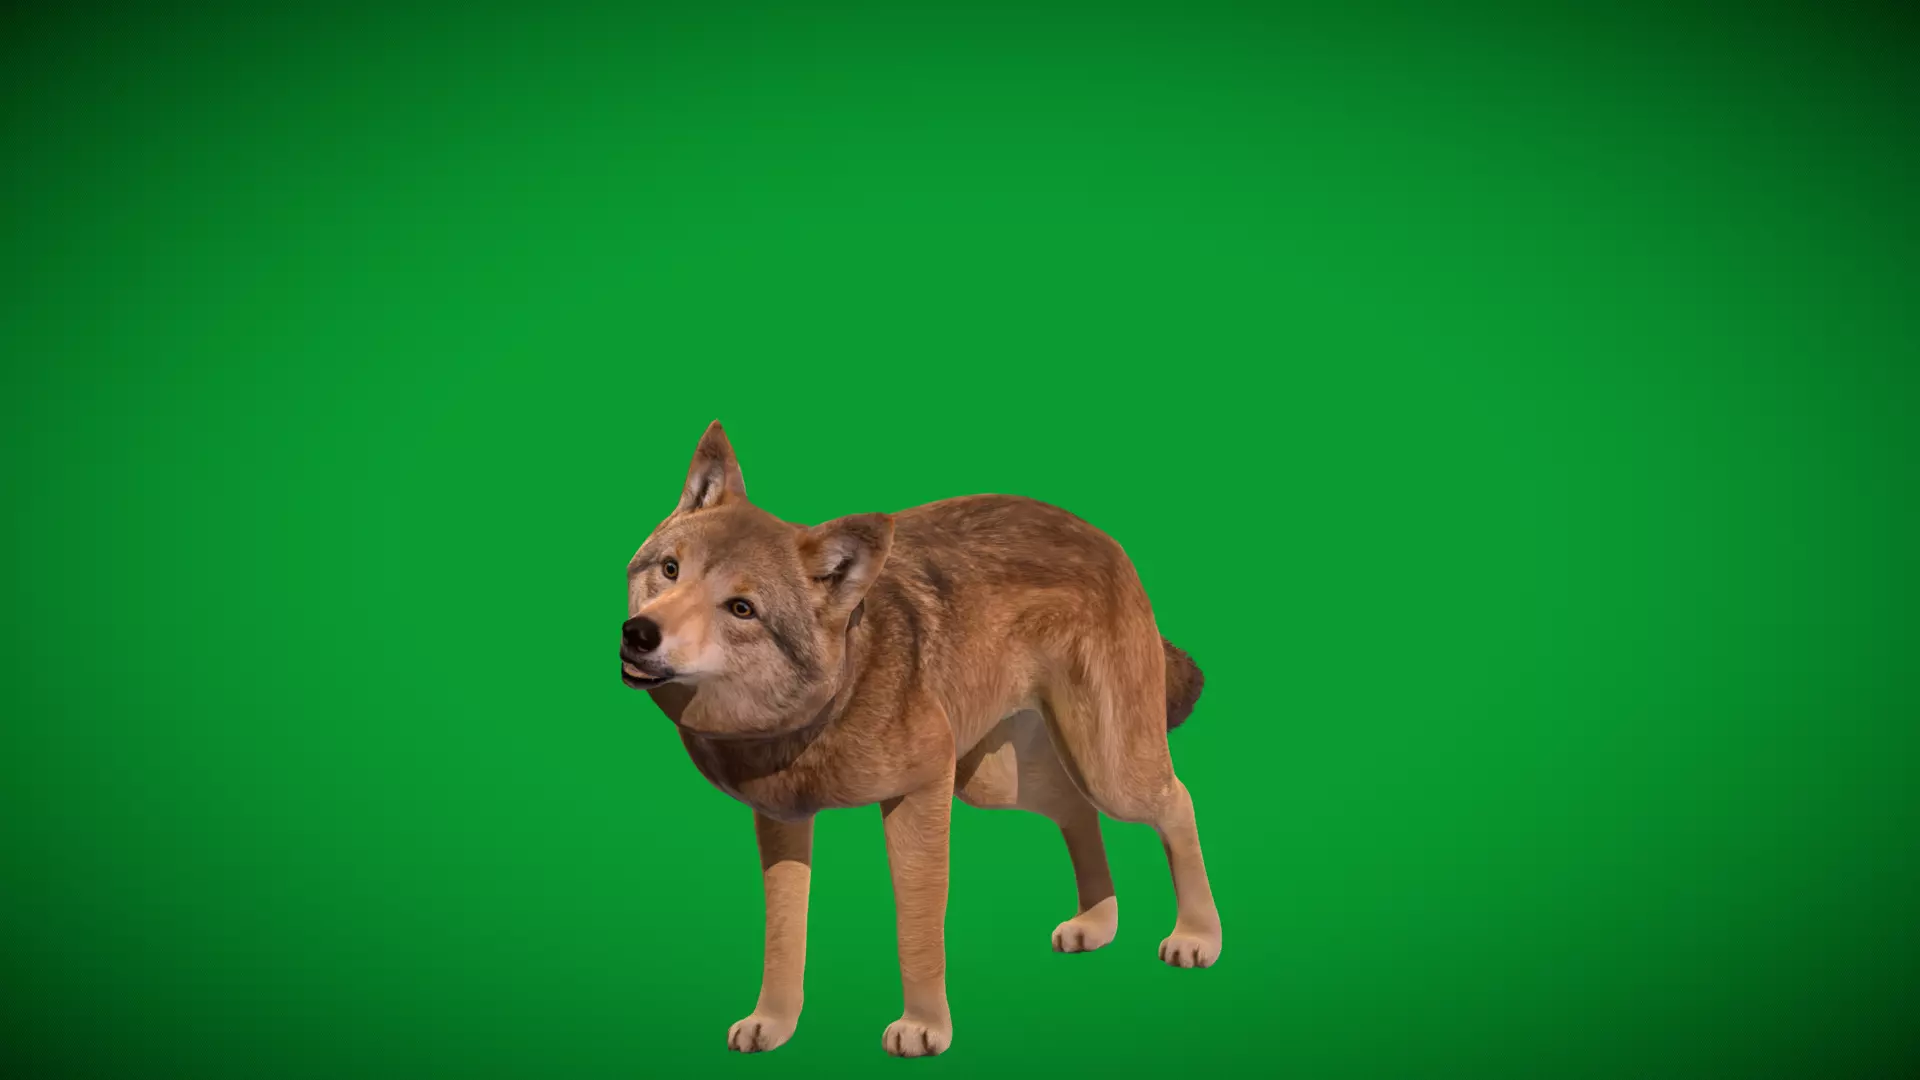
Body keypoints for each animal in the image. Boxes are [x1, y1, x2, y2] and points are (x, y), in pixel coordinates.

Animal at [619, 421, 1222, 1057]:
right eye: (669, 570)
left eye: (741, 609)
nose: (639, 634)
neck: (838, 693)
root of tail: (1102, 535)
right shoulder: (782, 818)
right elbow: (783, 935)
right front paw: (773, 1023)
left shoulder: (922, 793)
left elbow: (917, 927)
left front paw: (924, 1026)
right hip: (999, 782)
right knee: (1076, 810)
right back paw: (1096, 924)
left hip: (1105, 769)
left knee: (1176, 801)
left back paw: (1197, 936)